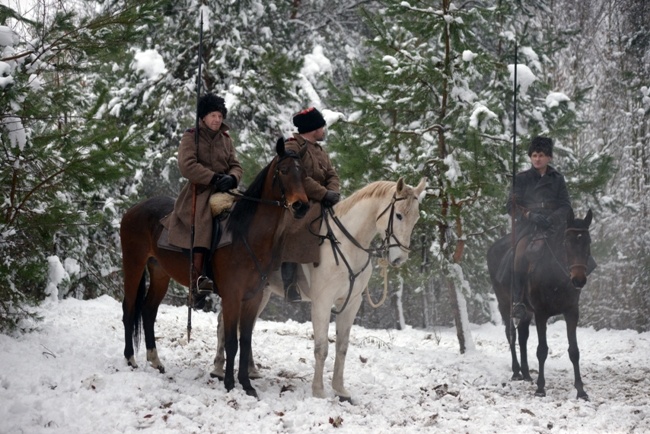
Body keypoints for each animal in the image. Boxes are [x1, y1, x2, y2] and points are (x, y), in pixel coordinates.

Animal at [119, 139, 308, 396]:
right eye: (284, 170)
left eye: (304, 173)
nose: (301, 206)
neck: (245, 234)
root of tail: (134, 209)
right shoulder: (231, 297)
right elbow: (231, 342)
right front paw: (228, 383)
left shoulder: (253, 298)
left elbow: (245, 341)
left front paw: (247, 385)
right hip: (133, 264)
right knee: (129, 309)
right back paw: (130, 359)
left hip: (159, 273)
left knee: (148, 311)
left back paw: (155, 361)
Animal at [210, 178, 428, 402]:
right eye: (399, 215)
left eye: (416, 218)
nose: (399, 259)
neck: (347, 244)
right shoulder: (322, 303)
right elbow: (322, 347)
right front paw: (318, 391)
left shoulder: (351, 303)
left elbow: (342, 347)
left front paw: (340, 390)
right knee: (224, 323)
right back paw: (218, 369)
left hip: (261, 294)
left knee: (246, 327)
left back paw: (251, 370)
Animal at [486, 209, 592, 398]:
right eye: (567, 242)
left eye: (588, 242)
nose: (579, 280)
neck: (555, 275)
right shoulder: (541, 313)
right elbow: (542, 350)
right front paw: (541, 388)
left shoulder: (572, 312)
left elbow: (574, 351)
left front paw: (580, 390)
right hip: (505, 304)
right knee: (511, 334)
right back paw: (516, 372)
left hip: (527, 311)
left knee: (522, 336)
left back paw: (527, 373)